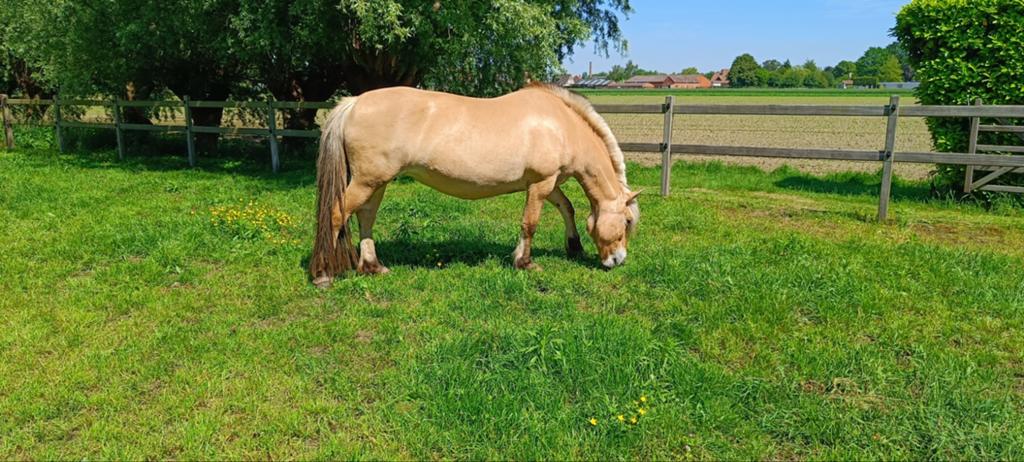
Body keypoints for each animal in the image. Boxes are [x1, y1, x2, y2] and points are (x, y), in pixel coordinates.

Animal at [309, 83, 640, 288]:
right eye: (626, 221)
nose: (618, 260)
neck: (561, 124)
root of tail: (354, 103)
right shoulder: (541, 183)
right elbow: (530, 223)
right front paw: (524, 262)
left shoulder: (548, 182)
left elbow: (567, 208)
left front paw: (573, 247)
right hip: (367, 181)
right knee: (337, 216)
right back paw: (323, 274)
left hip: (376, 182)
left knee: (365, 218)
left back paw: (372, 266)